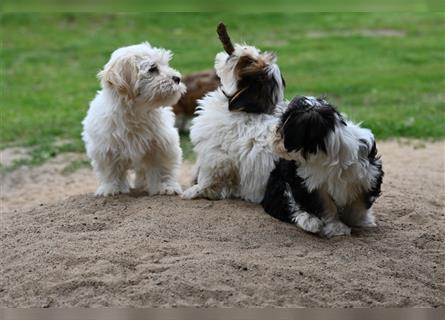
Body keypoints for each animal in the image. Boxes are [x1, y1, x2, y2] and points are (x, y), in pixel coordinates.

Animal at [81, 42, 186, 196]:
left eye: (166, 64)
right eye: (152, 69)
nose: (177, 78)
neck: (137, 112)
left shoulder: (163, 144)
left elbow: (163, 169)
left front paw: (167, 187)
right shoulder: (105, 148)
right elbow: (110, 171)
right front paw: (111, 189)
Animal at [262, 95, 384, 238]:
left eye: (283, 122)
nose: (272, 131)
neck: (330, 155)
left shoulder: (368, 175)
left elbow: (360, 203)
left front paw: (360, 221)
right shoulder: (312, 186)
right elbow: (326, 206)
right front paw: (337, 227)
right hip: (280, 184)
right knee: (291, 205)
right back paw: (310, 222)